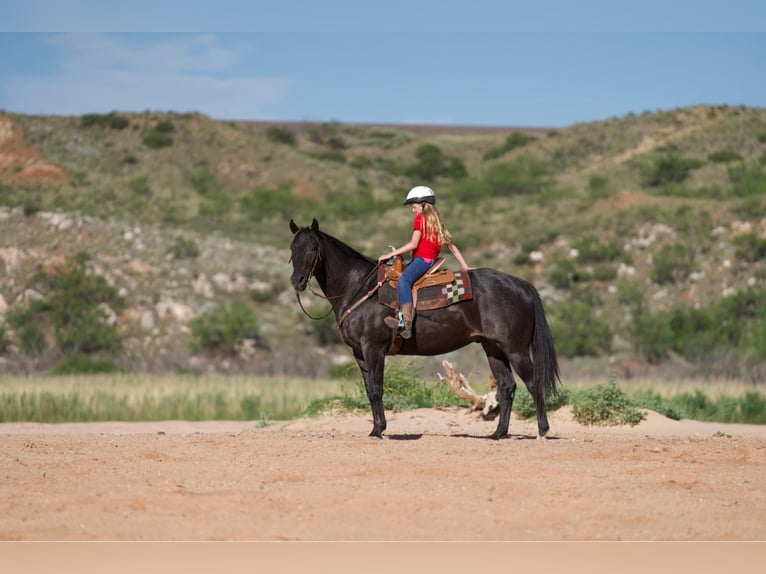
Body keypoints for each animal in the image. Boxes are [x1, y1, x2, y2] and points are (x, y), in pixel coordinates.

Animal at [289, 218, 560, 440]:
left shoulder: (373, 348)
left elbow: (376, 389)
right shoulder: (359, 353)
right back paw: (499, 433)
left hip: (515, 349)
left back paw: (542, 430)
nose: (297, 281)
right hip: (493, 348)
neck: (359, 288)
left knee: (533, 383)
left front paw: (379, 430)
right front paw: (375, 428)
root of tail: (521, 284)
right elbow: (369, 390)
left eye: (312, 249)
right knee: (507, 387)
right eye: (293, 248)